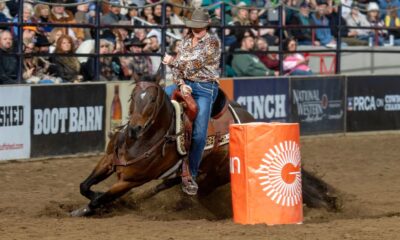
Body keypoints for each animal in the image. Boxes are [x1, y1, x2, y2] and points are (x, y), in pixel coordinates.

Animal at [71, 75, 338, 218]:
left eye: (153, 99)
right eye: (133, 97)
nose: (135, 128)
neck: (142, 141)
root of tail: (247, 120)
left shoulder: (130, 180)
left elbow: (101, 198)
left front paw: (91, 207)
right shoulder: (108, 161)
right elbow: (85, 186)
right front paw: (94, 200)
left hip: (215, 176)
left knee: (194, 190)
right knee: (170, 184)